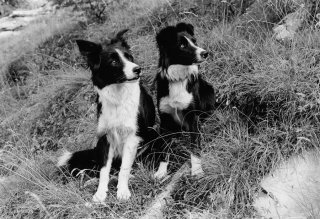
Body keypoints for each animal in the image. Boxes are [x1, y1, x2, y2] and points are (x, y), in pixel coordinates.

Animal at [58, 30, 156, 203]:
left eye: (129, 57)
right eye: (114, 61)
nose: (138, 69)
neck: (118, 96)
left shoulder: (133, 137)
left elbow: (124, 167)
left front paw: (122, 191)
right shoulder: (105, 137)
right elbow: (104, 170)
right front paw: (100, 193)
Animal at [153, 22, 214, 178]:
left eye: (194, 41)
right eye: (182, 45)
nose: (205, 53)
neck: (177, 78)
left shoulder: (192, 117)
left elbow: (194, 146)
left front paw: (197, 170)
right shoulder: (165, 120)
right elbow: (164, 149)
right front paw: (161, 171)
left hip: (209, 90)